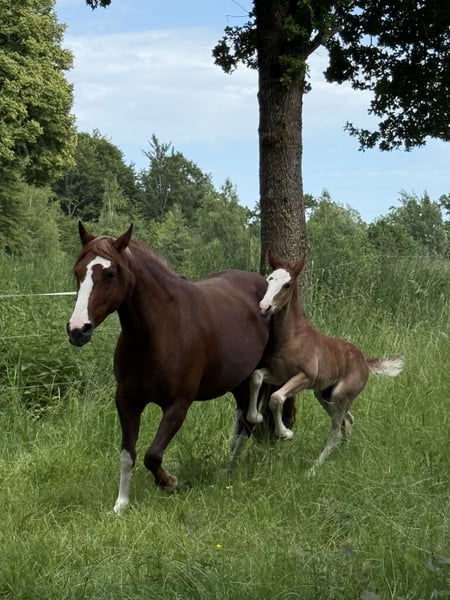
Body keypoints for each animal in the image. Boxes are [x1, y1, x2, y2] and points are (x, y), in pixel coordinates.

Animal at [67, 222, 270, 514]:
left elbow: (152, 455)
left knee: (252, 419)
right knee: (243, 421)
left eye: (110, 274)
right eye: (77, 272)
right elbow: (128, 455)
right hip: (236, 382)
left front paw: (170, 482)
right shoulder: (127, 402)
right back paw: (229, 470)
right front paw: (121, 505)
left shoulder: (178, 405)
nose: (77, 330)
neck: (158, 333)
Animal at [246, 251, 404, 475]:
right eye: (270, 279)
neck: (292, 336)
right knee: (348, 420)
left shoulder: (304, 377)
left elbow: (276, 398)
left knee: (336, 431)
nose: (264, 307)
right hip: (324, 394)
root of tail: (364, 361)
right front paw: (255, 417)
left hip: (339, 395)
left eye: (287, 284)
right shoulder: (278, 374)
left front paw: (285, 433)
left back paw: (313, 470)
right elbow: (256, 376)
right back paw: (345, 453)